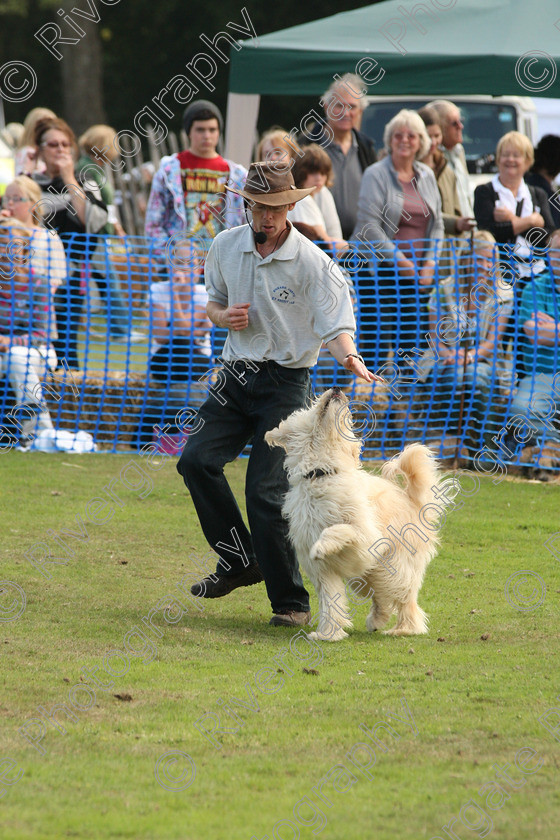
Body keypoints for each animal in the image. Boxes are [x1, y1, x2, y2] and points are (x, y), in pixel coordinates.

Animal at [264, 388, 448, 644]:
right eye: (313, 405)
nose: (337, 389)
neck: (322, 473)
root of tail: (411, 500)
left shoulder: (366, 536)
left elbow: (339, 529)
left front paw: (322, 546)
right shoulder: (324, 571)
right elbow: (330, 601)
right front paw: (328, 634)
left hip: (393, 566)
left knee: (405, 600)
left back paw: (405, 628)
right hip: (369, 574)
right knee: (381, 597)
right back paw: (377, 620)